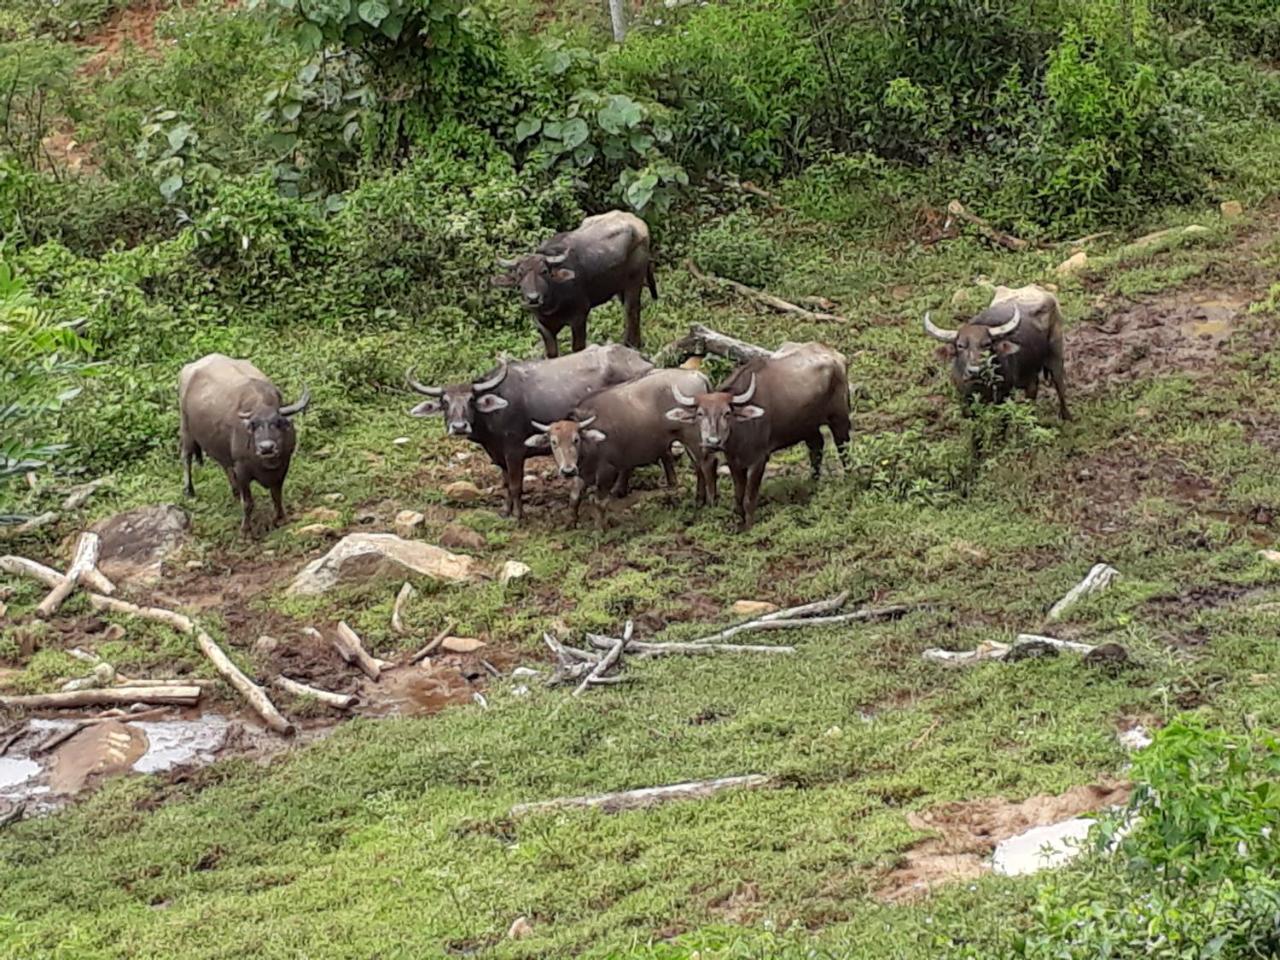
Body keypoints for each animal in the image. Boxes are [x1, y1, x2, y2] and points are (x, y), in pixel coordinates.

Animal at [177, 353, 309, 535]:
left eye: (278, 422)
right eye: (254, 425)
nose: (266, 447)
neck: (266, 463)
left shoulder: (283, 464)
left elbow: (277, 494)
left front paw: (280, 518)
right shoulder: (242, 469)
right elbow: (247, 502)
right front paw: (245, 529)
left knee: (224, 464)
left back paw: (234, 491)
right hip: (186, 430)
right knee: (187, 457)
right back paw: (189, 490)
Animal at [486, 212, 655, 358]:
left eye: (544, 271)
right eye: (520, 275)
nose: (533, 298)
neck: (553, 303)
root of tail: (638, 223)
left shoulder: (579, 318)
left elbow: (578, 348)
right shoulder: (543, 327)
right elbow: (552, 354)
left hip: (634, 282)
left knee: (631, 311)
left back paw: (631, 344)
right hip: (619, 287)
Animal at [524, 366, 716, 527]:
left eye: (576, 439)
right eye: (553, 442)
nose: (567, 470)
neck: (590, 447)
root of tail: (696, 375)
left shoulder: (607, 471)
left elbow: (599, 502)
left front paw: (600, 528)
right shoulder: (582, 474)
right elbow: (574, 498)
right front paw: (571, 523)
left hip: (694, 437)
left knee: (707, 464)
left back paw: (711, 501)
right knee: (698, 466)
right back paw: (699, 500)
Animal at [665, 343, 855, 529]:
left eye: (727, 413)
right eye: (700, 413)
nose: (712, 442)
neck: (739, 433)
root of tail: (837, 356)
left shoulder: (759, 460)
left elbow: (749, 497)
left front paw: (749, 525)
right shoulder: (734, 462)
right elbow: (738, 494)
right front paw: (739, 521)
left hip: (839, 418)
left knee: (843, 448)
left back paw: (849, 479)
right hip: (807, 426)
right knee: (816, 447)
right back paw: (812, 483)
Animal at [921, 285, 1070, 419]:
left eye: (987, 344)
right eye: (960, 345)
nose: (975, 371)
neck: (980, 388)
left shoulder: (1004, 395)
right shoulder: (964, 400)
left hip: (1056, 354)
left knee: (1060, 385)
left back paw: (1066, 416)